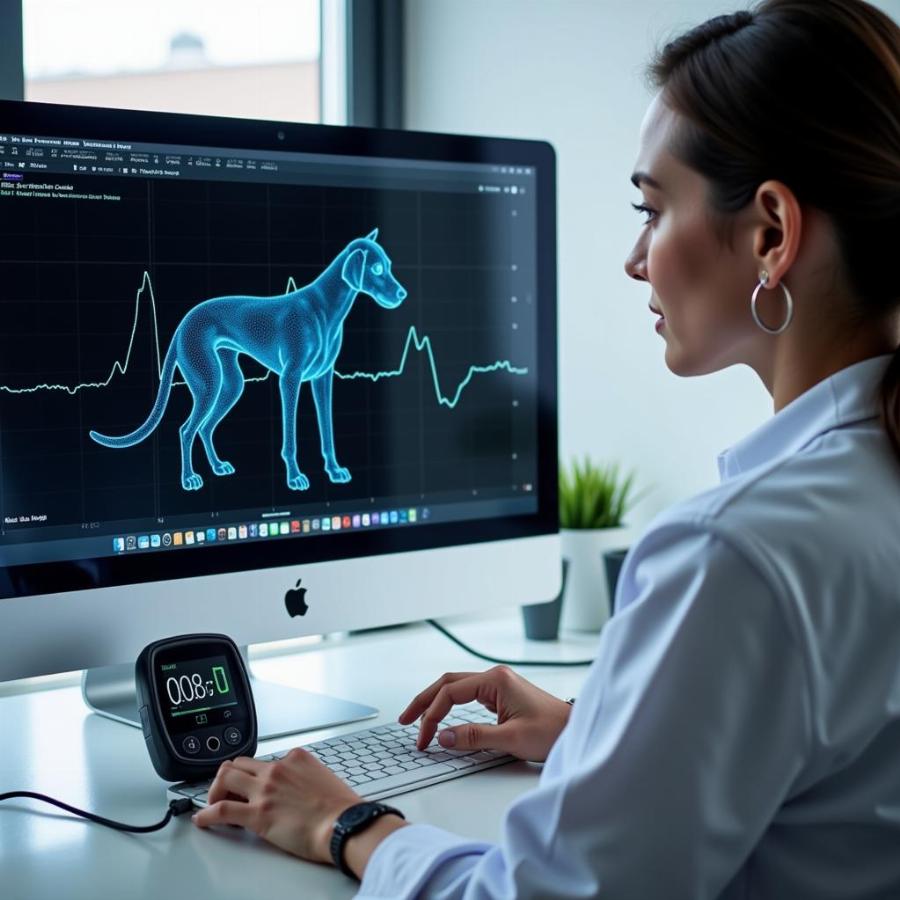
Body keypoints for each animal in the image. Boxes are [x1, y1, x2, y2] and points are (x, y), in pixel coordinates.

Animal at [89, 229, 408, 488]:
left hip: (230, 384)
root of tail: (182, 325)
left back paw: (217, 466)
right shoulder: (290, 380)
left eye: (389, 265)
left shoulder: (322, 379)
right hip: (208, 382)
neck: (325, 308)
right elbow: (290, 438)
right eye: (376, 268)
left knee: (205, 427)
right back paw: (190, 478)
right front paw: (295, 477)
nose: (402, 294)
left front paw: (334, 470)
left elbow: (327, 430)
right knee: (186, 429)